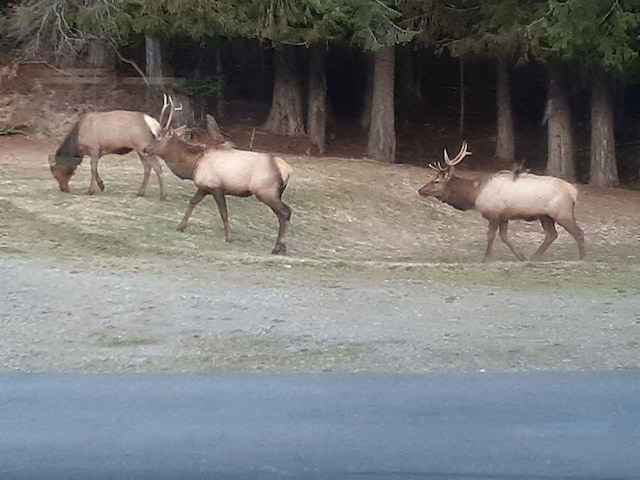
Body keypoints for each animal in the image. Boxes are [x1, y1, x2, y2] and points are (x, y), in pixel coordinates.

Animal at [142, 96, 292, 256]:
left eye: (158, 138)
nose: (145, 149)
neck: (193, 164)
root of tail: (287, 170)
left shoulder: (216, 187)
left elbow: (223, 213)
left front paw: (229, 238)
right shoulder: (203, 187)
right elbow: (192, 202)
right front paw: (180, 226)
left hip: (266, 191)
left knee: (285, 212)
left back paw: (278, 247)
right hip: (275, 193)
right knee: (283, 214)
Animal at [418, 142, 588, 262]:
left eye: (436, 181)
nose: (420, 190)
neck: (474, 194)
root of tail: (573, 192)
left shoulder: (493, 213)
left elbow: (490, 236)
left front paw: (486, 259)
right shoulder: (504, 216)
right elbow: (504, 237)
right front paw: (521, 257)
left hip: (562, 212)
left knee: (578, 232)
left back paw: (582, 258)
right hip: (545, 216)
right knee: (551, 235)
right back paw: (534, 257)